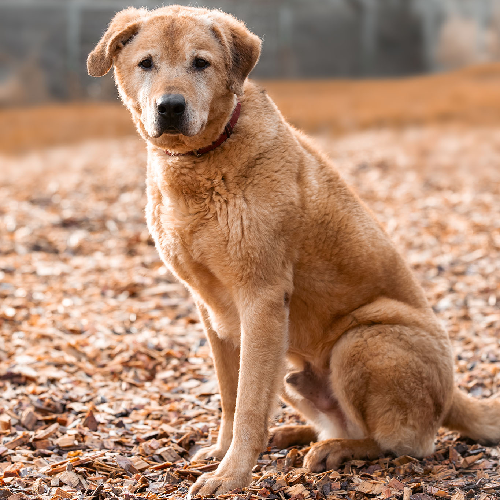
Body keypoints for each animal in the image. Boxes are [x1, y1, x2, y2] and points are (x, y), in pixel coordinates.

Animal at [88, 5, 500, 497]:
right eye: (146, 63)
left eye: (200, 63)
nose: (170, 107)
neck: (200, 162)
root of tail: (455, 395)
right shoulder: (213, 310)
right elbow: (231, 395)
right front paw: (222, 452)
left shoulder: (261, 300)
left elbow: (248, 403)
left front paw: (231, 475)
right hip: (288, 360)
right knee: (331, 421)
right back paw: (294, 435)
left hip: (362, 340)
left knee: (397, 443)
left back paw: (336, 449)